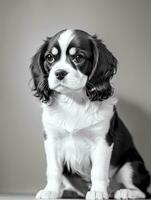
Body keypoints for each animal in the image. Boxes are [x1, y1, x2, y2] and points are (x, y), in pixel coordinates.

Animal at [29, 28, 150, 199]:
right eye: (50, 58)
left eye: (78, 57)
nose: (59, 73)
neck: (74, 101)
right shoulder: (52, 140)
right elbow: (53, 170)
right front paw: (51, 190)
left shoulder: (102, 141)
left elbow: (98, 171)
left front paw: (98, 191)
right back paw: (65, 192)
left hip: (131, 165)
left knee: (142, 191)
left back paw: (124, 192)